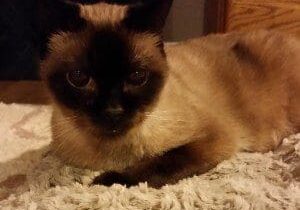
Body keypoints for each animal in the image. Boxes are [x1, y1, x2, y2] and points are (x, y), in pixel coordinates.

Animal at [41, 0, 300, 187]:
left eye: (137, 76)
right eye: (79, 78)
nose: (113, 111)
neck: (113, 153)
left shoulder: (214, 138)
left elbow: (163, 161)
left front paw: (108, 181)